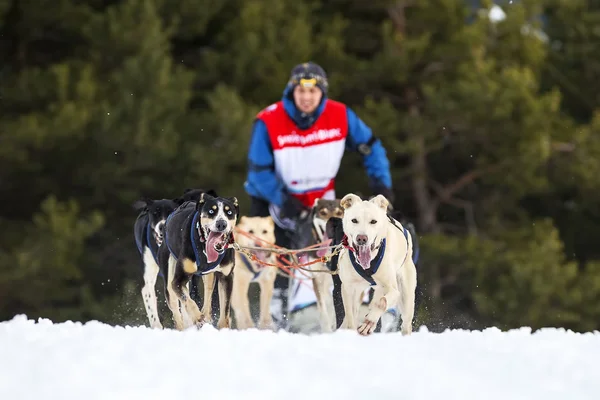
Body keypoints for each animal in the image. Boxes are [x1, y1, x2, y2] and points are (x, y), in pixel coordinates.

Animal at [159, 192, 239, 330]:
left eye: (229, 212)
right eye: (211, 211)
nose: (221, 224)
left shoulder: (226, 277)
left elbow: (225, 310)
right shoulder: (178, 281)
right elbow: (188, 300)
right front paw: (197, 317)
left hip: (209, 277)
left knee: (208, 293)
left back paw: (206, 315)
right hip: (169, 281)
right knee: (177, 312)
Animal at [338, 192, 418, 336]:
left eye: (373, 221)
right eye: (354, 220)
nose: (362, 238)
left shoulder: (393, 290)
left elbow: (382, 302)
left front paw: (369, 322)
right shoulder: (348, 288)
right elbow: (350, 315)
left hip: (406, 297)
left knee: (405, 324)